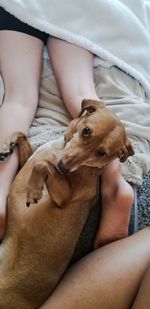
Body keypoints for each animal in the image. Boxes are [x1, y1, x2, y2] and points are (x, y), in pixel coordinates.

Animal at [0, 100, 134, 306]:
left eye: (102, 153)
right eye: (87, 131)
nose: (63, 167)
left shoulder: (63, 198)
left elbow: (42, 165)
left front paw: (33, 190)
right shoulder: (26, 163)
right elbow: (22, 134)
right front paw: (7, 144)